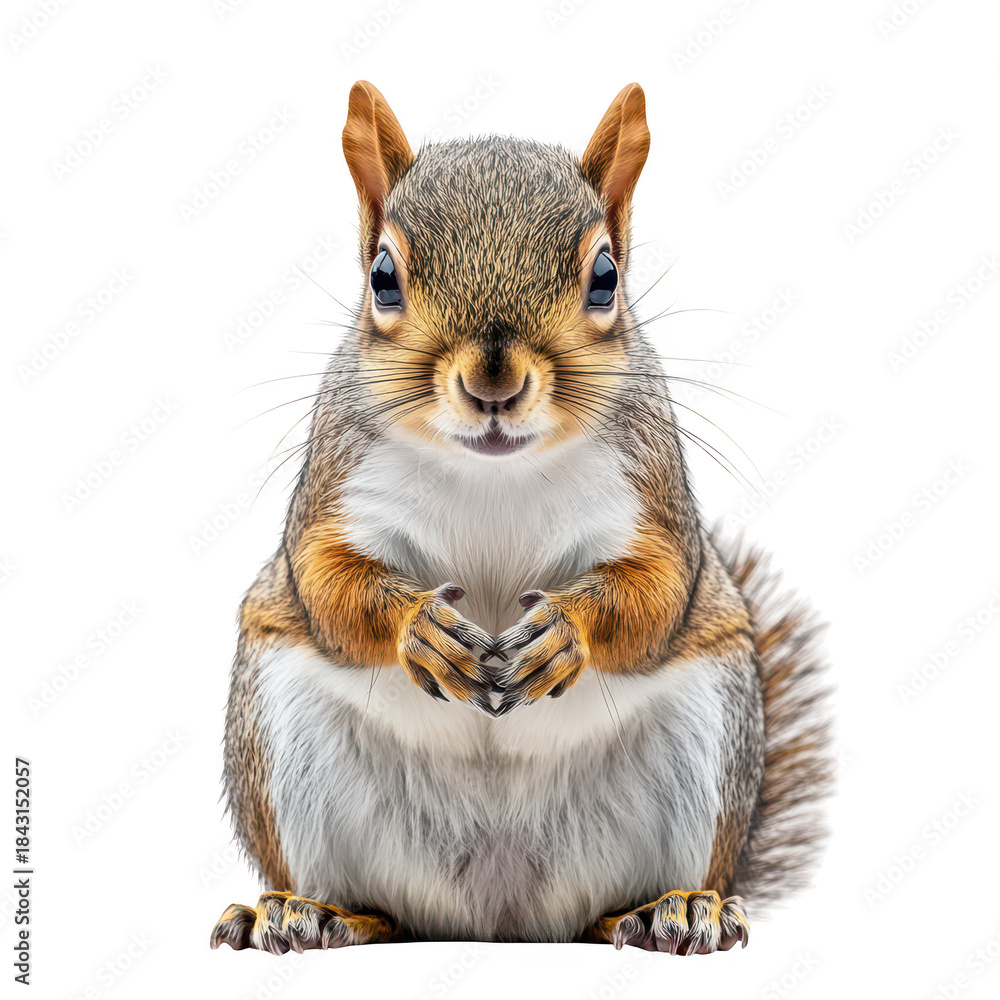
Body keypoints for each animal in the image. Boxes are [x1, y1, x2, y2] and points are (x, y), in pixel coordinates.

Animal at [210, 81, 833, 955]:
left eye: (605, 276)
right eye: (383, 277)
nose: (494, 384)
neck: (493, 476)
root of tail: (498, 918)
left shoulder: (653, 492)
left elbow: (658, 591)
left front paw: (565, 630)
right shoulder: (335, 487)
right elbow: (327, 583)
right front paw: (421, 629)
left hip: (708, 731)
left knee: (614, 907)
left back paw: (673, 909)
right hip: (282, 733)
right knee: (381, 911)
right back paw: (313, 912)